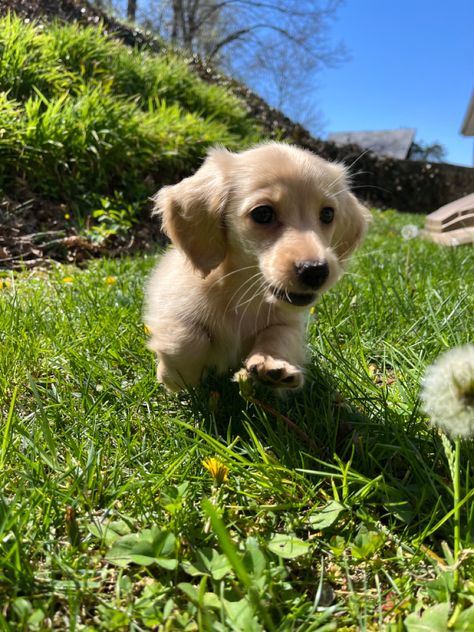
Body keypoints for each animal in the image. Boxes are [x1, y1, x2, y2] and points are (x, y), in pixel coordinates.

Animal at [144, 143, 370, 390]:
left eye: (328, 214)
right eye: (262, 213)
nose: (316, 271)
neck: (245, 293)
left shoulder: (289, 324)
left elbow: (278, 336)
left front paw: (271, 366)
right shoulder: (169, 304)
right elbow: (188, 338)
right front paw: (178, 378)